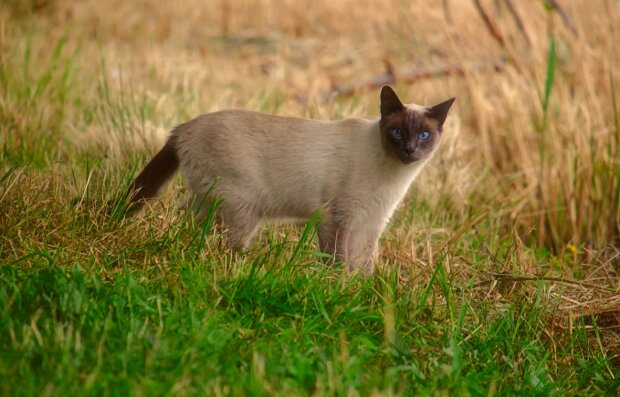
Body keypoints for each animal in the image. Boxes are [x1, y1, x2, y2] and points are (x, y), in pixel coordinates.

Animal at [127, 86, 456, 272]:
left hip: (212, 201)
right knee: (221, 242)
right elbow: (337, 261)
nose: (410, 150)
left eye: (423, 135)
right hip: (242, 209)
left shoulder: (370, 224)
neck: (393, 177)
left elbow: (363, 266)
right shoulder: (337, 218)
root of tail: (183, 128)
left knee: (185, 221)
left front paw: (359, 296)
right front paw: (335, 290)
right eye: (397, 132)